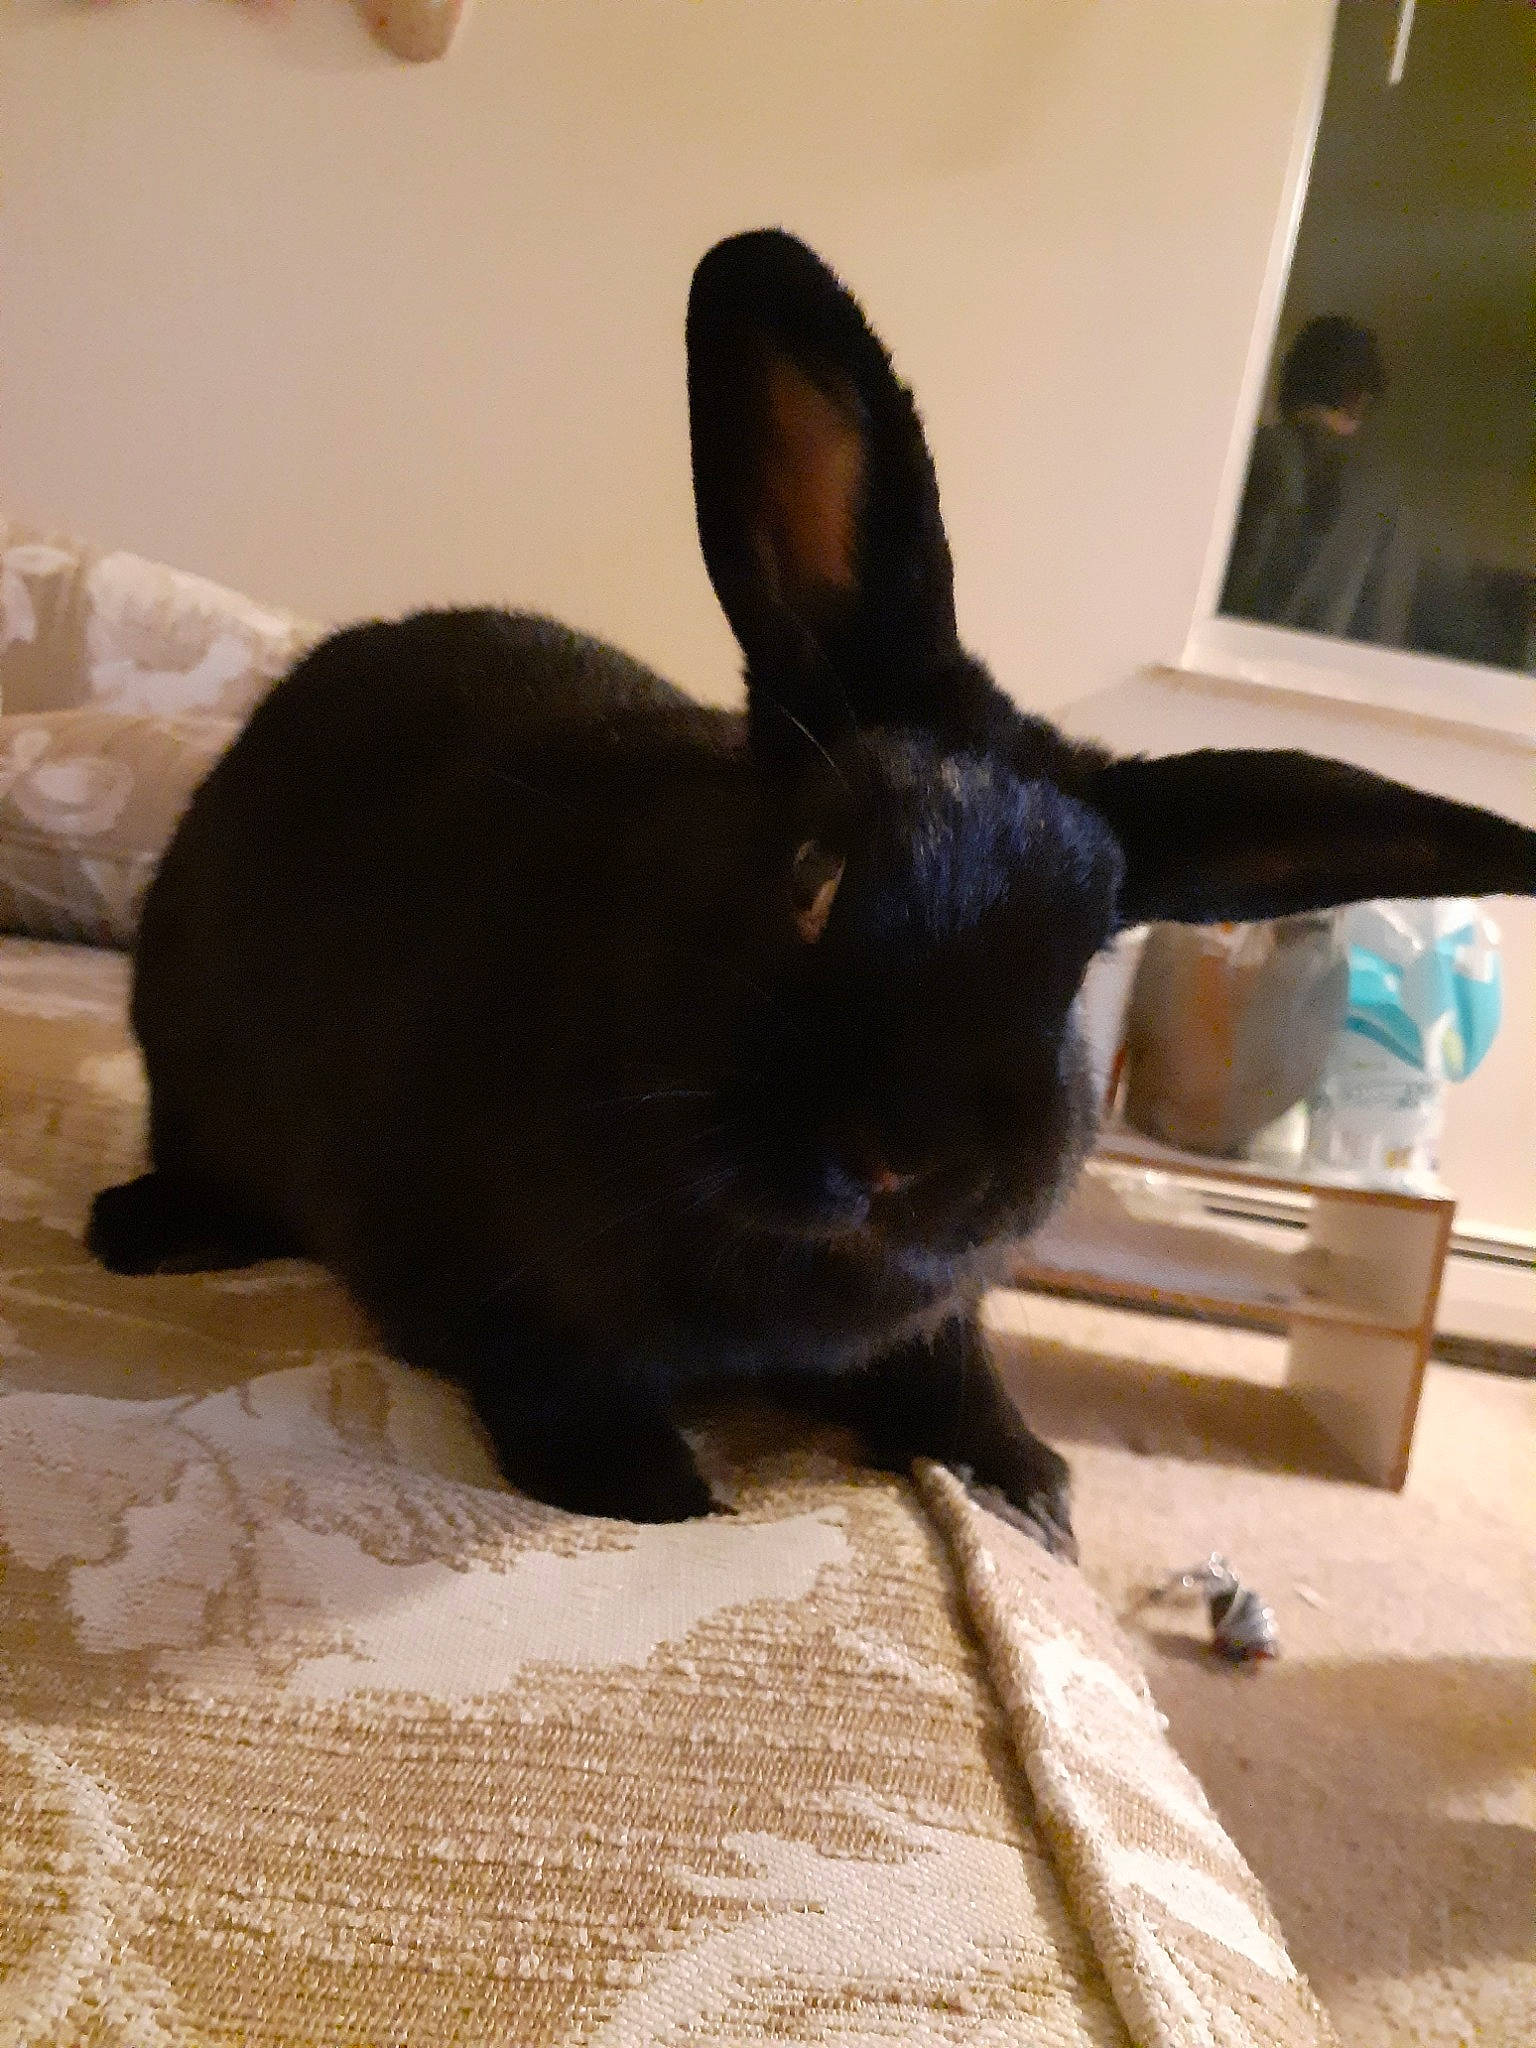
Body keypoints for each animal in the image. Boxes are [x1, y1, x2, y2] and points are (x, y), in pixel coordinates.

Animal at [89, 230, 1536, 1555]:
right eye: (813, 875)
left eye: (1077, 965)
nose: (903, 1155)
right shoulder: (470, 1261)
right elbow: (546, 1363)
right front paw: (656, 1488)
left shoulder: (935, 1308)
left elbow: (955, 1365)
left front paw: (1028, 1495)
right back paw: (142, 1231)